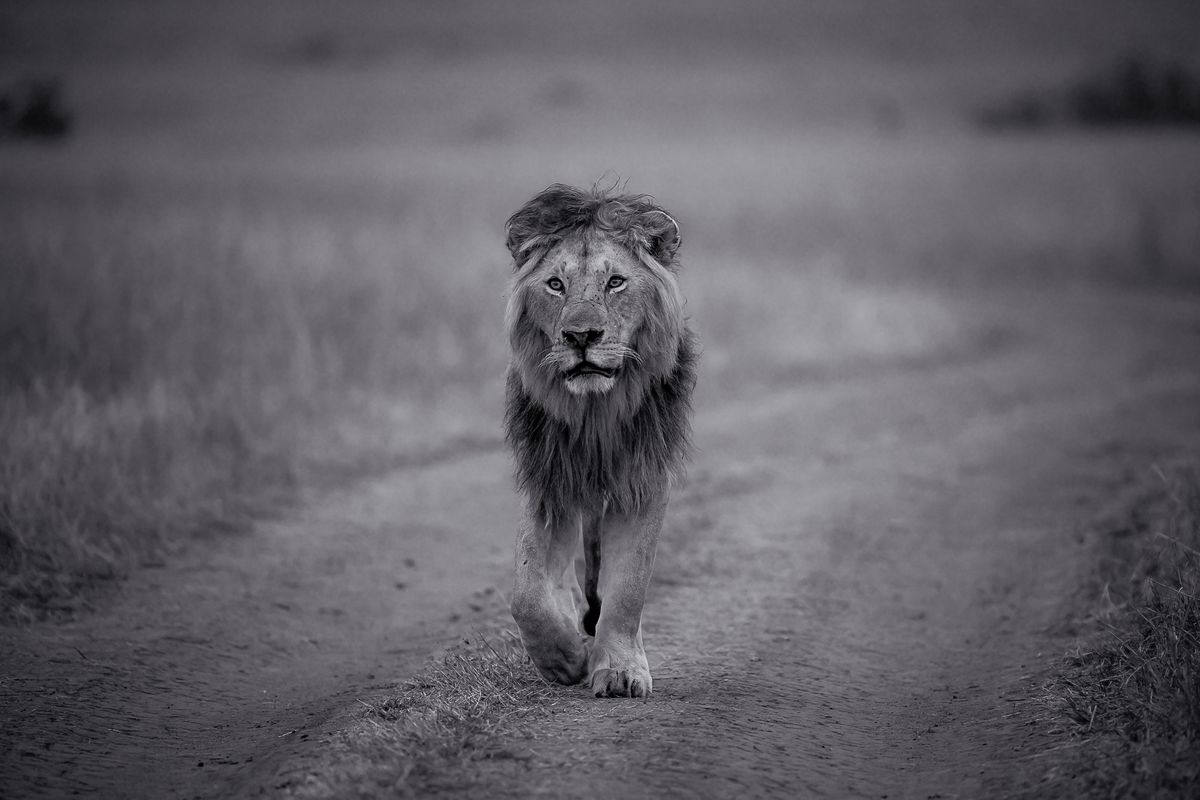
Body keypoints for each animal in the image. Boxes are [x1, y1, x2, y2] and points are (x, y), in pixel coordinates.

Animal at [501, 184, 700, 695]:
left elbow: (628, 585)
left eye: (615, 283)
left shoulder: (642, 480)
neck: (594, 413)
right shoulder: (546, 479)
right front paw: (564, 658)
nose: (580, 335)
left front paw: (620, 669)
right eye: (555, 284)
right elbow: (526, 593)